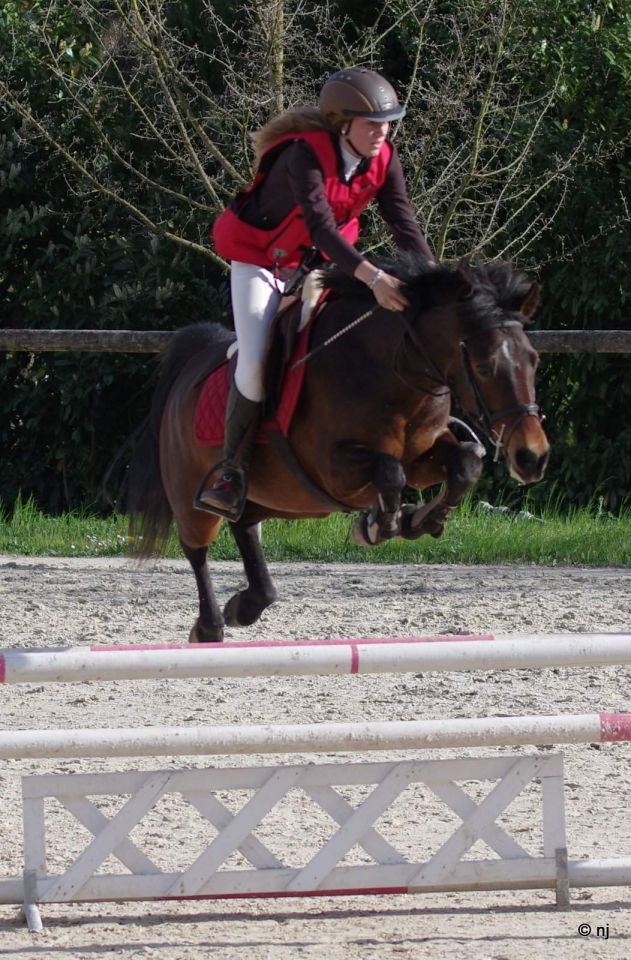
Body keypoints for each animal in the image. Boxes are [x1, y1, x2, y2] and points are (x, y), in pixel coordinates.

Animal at [126, 257, 550, 643]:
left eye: (534, 360)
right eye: (483, 367)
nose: (532, 457)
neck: (395, 369)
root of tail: (192, 365)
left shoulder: (423, 458)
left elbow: (463, 464)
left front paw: (418, 519)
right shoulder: (334, 468)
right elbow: (389, 471)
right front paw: (380, 524)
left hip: (274, 497)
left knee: (244, 525)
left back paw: (246, 605)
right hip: (191, 491)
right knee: (196, 547)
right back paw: (210, 626)